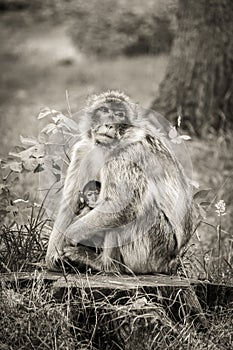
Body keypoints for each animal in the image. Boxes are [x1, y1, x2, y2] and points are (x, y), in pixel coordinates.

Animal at [46, 91, 193, 276]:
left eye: (119, 114)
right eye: (104, 110)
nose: (109, 124)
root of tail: (172, 262)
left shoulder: (125, 156)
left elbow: (121, 206)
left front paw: (69, 235)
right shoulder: (82, 151)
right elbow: (70, 204)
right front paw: (53, 256)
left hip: (151, 250)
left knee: (138, 207)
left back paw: (105, 264)